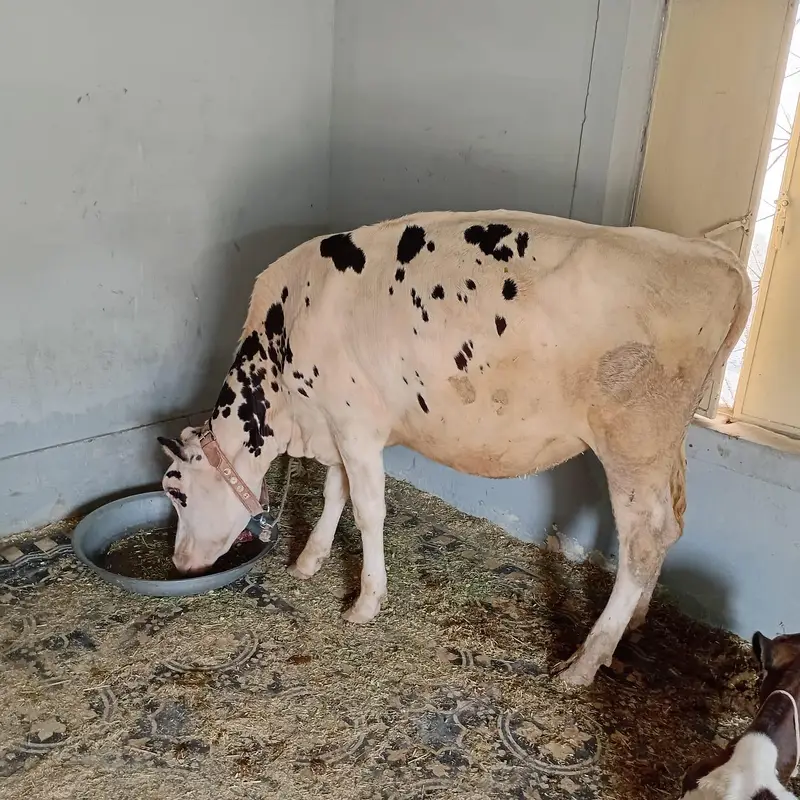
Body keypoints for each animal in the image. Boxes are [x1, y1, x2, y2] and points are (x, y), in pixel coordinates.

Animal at [157, 209, 751, 686]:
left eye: (176, 491)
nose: (180, 563)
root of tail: (712, 255)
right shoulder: (340, 425)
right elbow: (335, 493)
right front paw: (309, 560)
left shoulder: (353, 423)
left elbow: (368, 509)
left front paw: (365, 602)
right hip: (667, 444)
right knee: (670, 524)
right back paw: (638, 621)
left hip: (632, 439)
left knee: (643, 538)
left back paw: (585, 661)